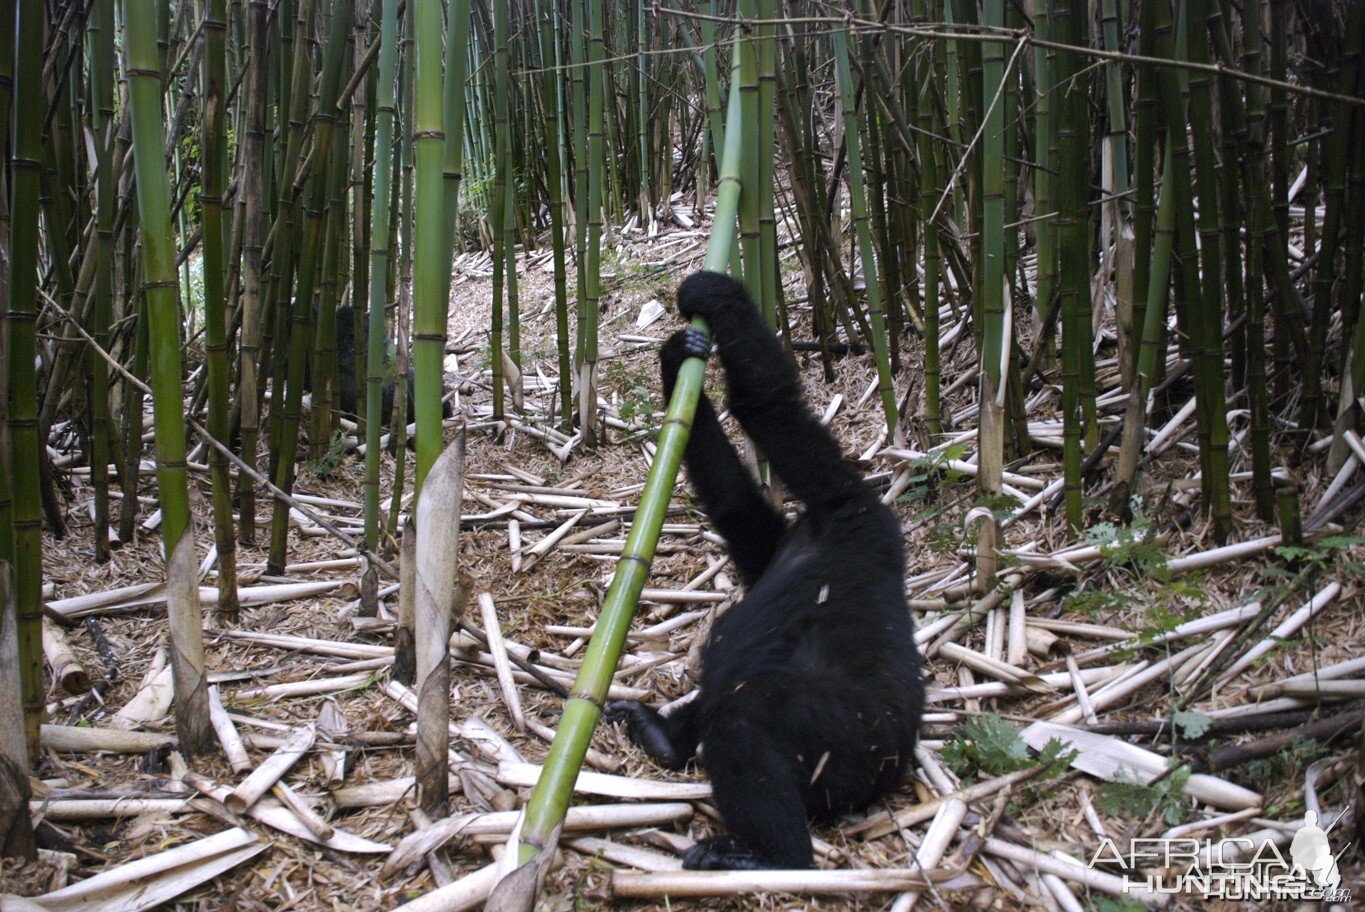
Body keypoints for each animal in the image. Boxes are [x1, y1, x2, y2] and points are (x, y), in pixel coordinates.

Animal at [611, 270, 922, 868]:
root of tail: (890, 771)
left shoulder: (841, 499)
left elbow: (768, 405)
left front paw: (713, 294)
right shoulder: (778, 536)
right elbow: (734, 502)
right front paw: (676, 362)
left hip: (850, 744)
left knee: (746, 714)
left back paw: (769, 855)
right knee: (729, 688)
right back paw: (665, 737)